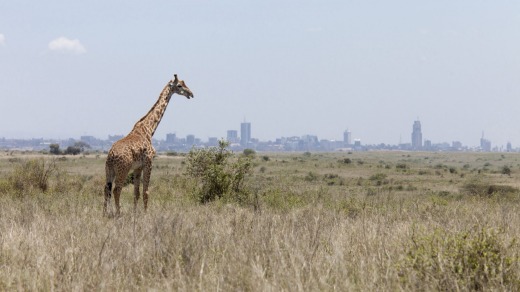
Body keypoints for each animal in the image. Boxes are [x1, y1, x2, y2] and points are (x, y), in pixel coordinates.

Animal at [103, 74, 193, 216]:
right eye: (179, 85)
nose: (191, 93)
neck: (149, 129)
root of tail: (111, 156)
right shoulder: (149, 162)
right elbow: (146, 192)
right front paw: (146, 214)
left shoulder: (137, 167)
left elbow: (136, 193)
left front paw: (135, 213)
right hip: (123, 169)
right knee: (117, 190)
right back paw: (118, 214)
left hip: (109, 170)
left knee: (106, 189)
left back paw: (104, 213)